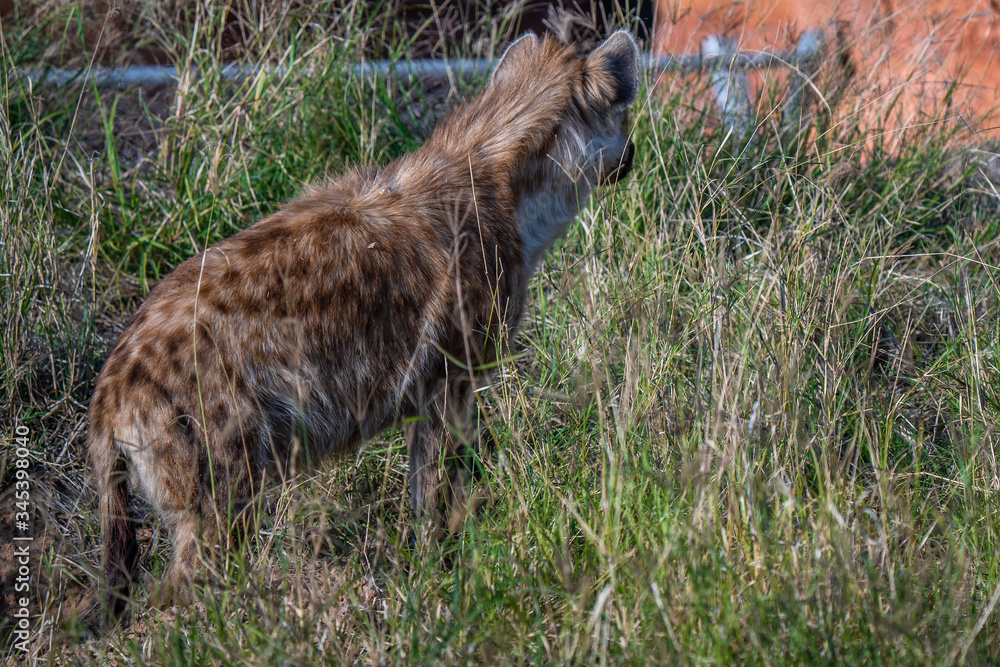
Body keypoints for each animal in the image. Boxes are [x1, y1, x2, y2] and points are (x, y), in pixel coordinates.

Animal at [88, 28, 640, 623]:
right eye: (627, 112)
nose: (634, 154)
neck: (502, 173)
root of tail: (109, 393)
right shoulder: (451, 378)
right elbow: (438, 486)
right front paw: (444, 574)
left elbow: (424, 485)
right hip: (223, 476)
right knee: (186, 583)